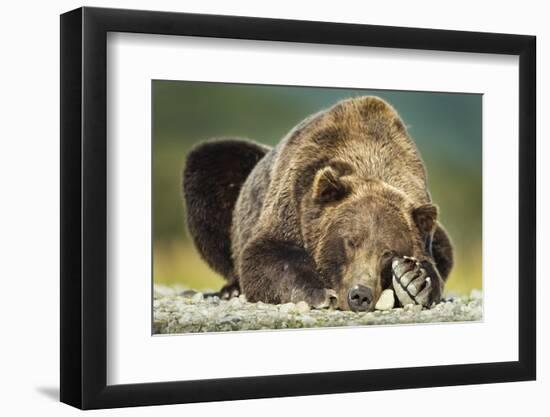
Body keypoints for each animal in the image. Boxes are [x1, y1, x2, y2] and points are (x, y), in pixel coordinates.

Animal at [183, 96, 454, 310]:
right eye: (350, 241)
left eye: (388, 252)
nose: (360, 295)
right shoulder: (295, 196)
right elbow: (264, 253)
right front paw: (320, 292)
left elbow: (432, 264)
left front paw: (414, 280)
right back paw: (231, 289)